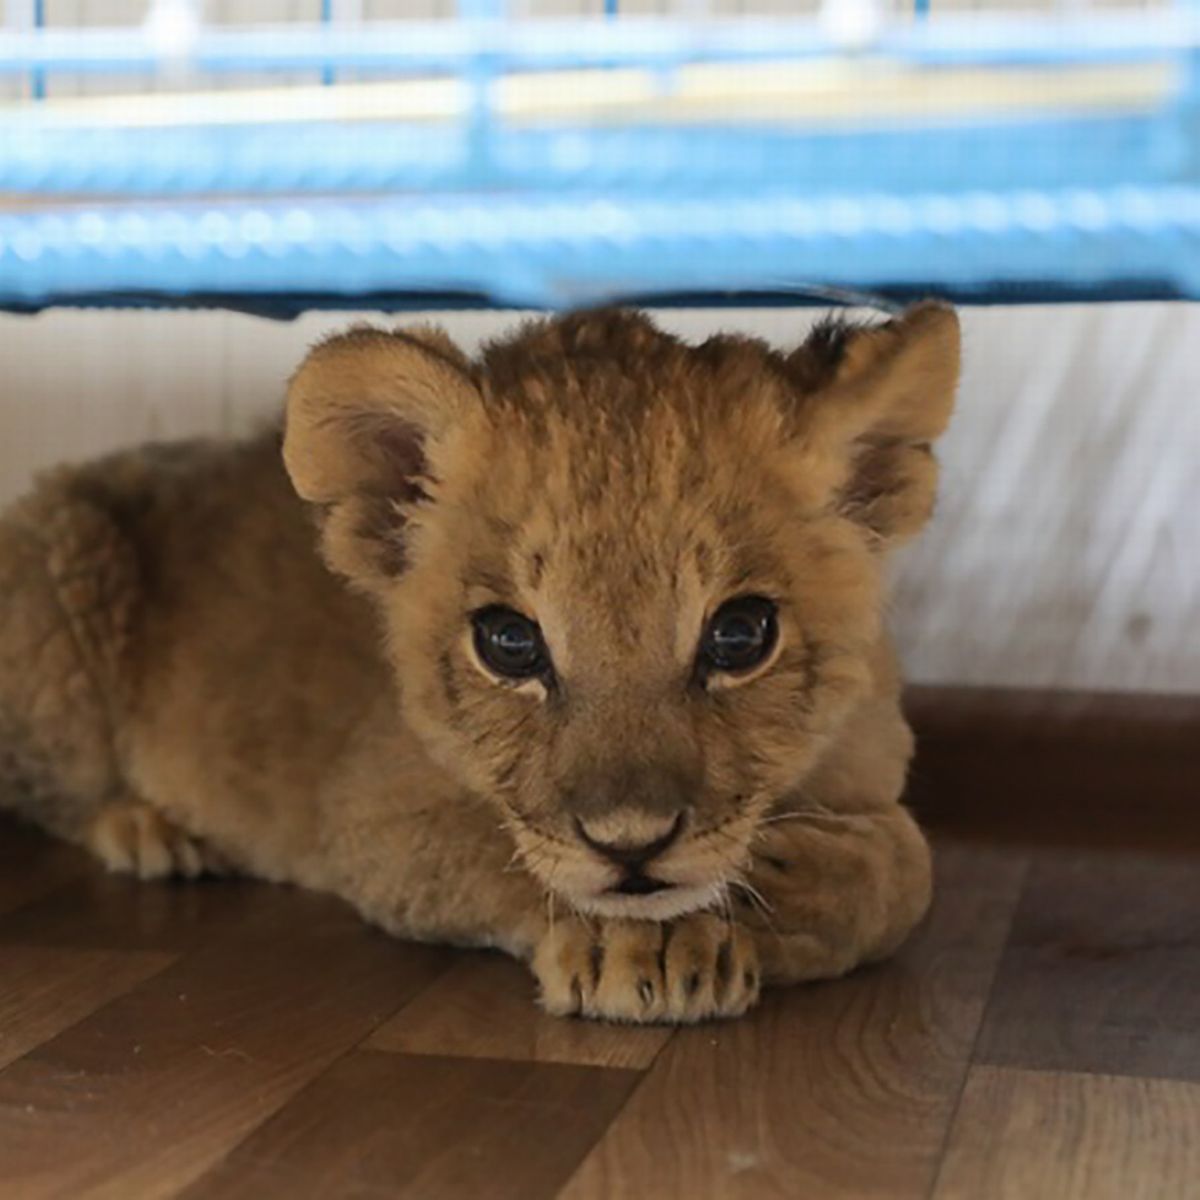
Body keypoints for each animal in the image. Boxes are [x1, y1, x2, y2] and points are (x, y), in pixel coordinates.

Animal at [0, 303, 958, 1023]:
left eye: (741, 635)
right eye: (509, 643)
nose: (632, 846)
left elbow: (908, 869)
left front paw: (741, 896)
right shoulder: (368, 807)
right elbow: (499, 850)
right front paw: (641, 941)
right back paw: (151, 829)